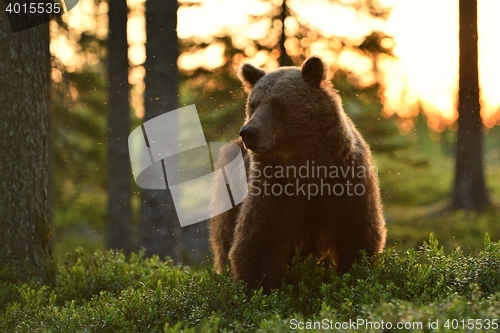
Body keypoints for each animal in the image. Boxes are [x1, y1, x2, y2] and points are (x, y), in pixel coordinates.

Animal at [209, 55, 384, 292]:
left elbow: (357, 236)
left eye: (278, 104)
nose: (248, 132)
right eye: (253, 104)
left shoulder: (346, 182)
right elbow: (259, 241)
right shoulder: (273, 191)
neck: (305, 165)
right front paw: (257, 288)